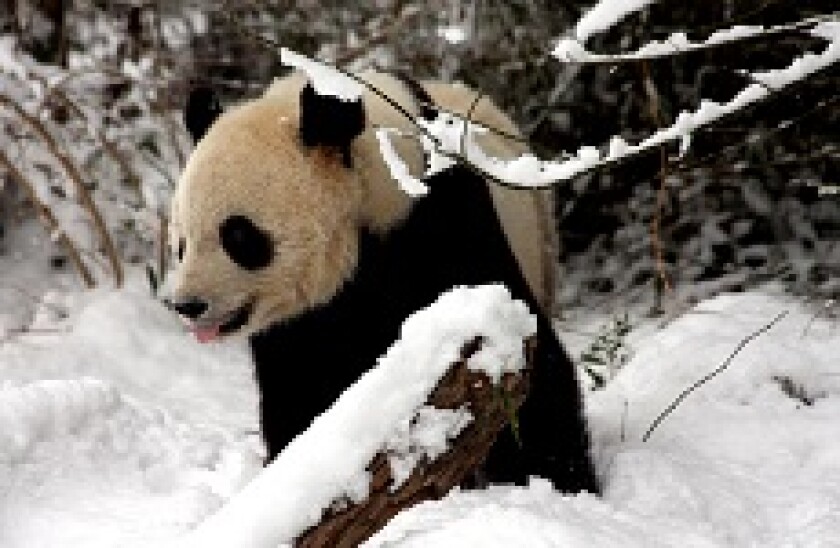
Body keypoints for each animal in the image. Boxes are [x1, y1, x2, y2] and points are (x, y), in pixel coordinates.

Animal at [166, 70, 599, 495]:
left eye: (239, 236)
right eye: (182, 242)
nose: (187, 305)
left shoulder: (445, 224)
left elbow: (525, 364)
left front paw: (556, 481)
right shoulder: (298, 325)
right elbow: (298, 390)